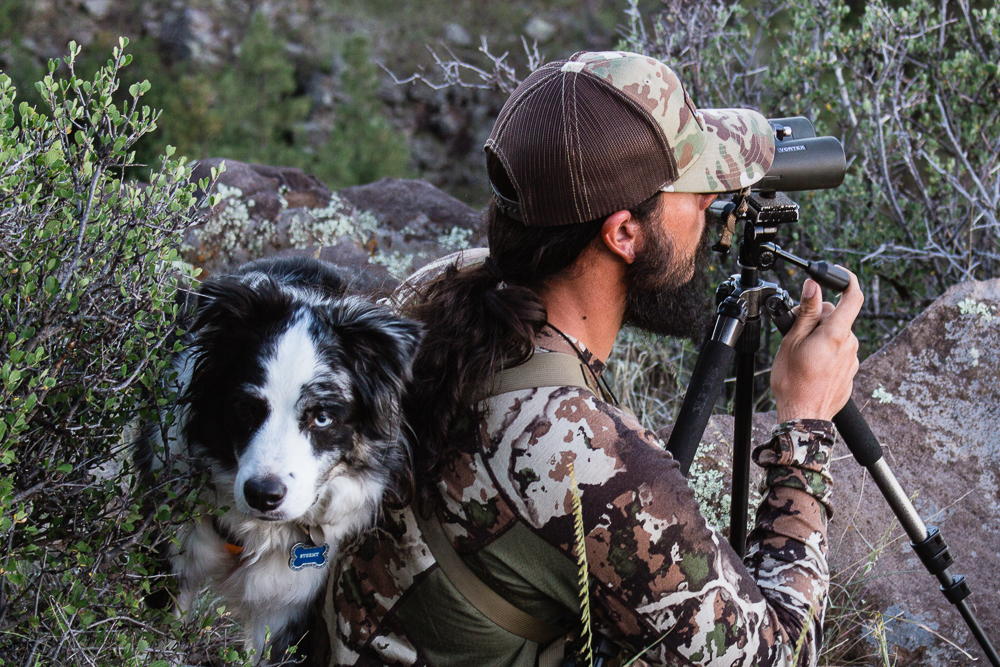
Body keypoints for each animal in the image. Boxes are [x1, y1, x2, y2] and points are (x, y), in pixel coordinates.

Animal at [135, 256, 420, 664]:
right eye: (244, 408)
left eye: (322, 417)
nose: (262, 494)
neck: (252, 534)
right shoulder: (171, 559)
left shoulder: (289, 603)